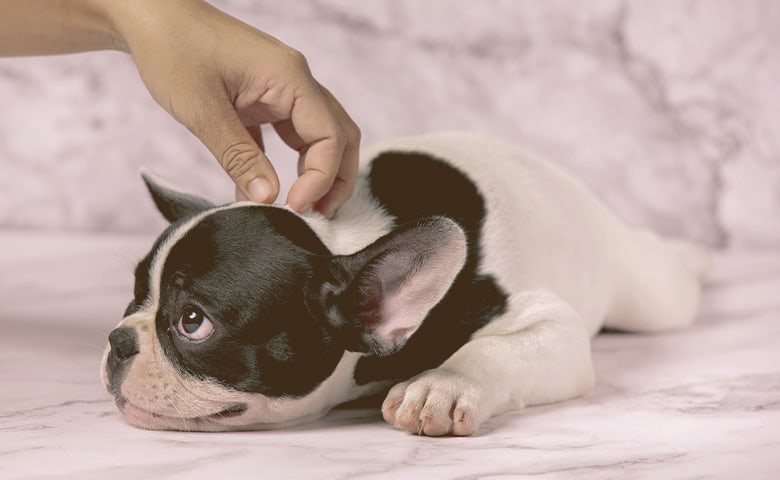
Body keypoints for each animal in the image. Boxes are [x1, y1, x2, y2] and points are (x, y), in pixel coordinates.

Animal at [99, 133, 708, 436]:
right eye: (135, 296)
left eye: (193, 321)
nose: (117, 339)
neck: (337, 239)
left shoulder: (549, 324)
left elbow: (497, 350)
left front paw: (442, 385)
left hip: (648, 296)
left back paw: (696, 257)